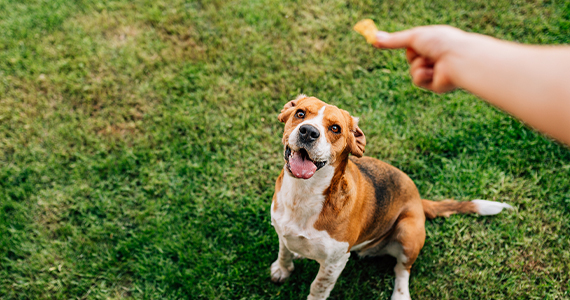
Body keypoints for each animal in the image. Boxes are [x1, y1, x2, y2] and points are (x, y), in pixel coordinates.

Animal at [268, 95, 512, 300]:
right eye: (300, 113)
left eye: (335, 128)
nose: (308, 131)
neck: (303, 193)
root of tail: (418, 200)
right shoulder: (282, 230)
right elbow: (284, 251)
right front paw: (283, 269)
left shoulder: (334, 262)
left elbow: (318, 287)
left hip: (407, 232)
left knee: (402, 269)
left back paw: (400, 294)